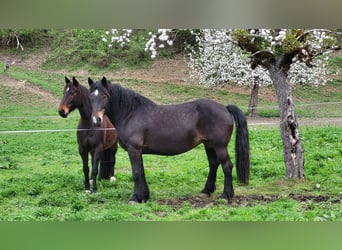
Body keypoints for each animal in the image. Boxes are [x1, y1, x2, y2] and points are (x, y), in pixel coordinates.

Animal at [88, 76, 248, 203]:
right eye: (91, 97)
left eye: (104, 96)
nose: (96, 120)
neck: (131, 113)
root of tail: (225, 108)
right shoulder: (139, 151)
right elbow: (142, 172)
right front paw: (144, 196)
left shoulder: (134, 149)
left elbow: (136, 173)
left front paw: (135, 197)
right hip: (208, 144)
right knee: (214, 164)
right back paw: (206, 190)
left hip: (220, 146)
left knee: (227, 166)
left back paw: (226, 195)